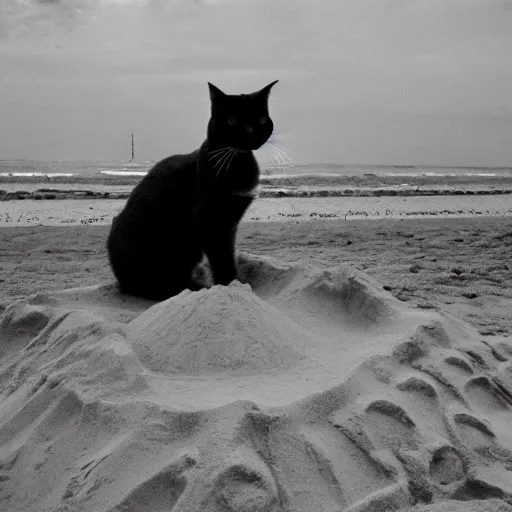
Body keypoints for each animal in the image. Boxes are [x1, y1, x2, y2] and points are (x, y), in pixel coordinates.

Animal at [105, 80, 278, 300]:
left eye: (261, 120)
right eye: (232, 121)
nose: (249, 134)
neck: (236, 161)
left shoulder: (230, 222)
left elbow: (228, 254)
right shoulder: (210, 220)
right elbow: (221, 259)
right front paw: (230, 285)